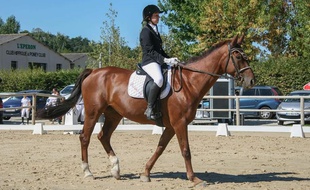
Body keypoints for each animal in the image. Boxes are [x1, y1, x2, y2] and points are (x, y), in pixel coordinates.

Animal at [37, 33, 254, 186]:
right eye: (237, 56)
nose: (251, 81)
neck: (188, 83)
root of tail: (94, 71)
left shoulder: (171, 125)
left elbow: (160, 147)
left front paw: (145, 173)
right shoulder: (179, 123)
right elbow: (185, 150)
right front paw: (194, 179)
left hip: (113, 114)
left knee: (103, 136)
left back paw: (116, 170)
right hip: (92, 112)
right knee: (85, 137)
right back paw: (88, 172)